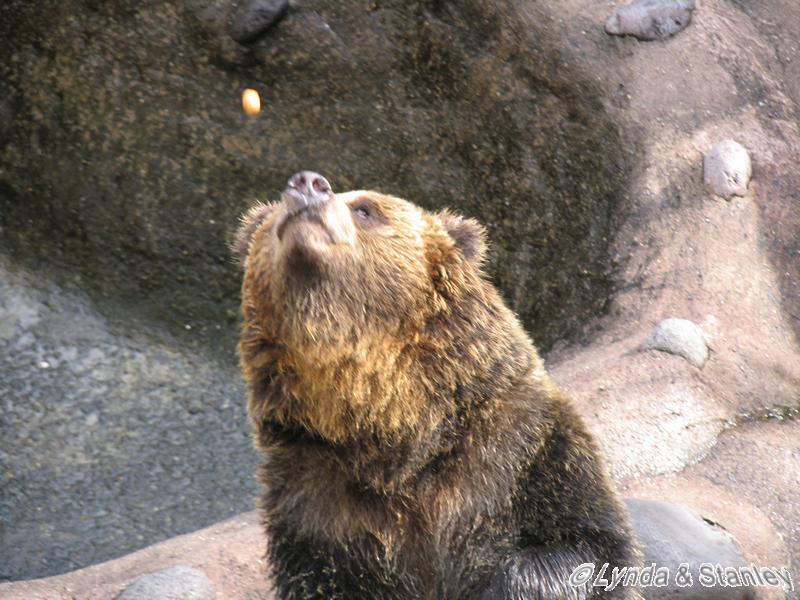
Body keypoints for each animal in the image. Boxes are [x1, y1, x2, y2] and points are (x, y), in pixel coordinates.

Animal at [233, 171, 644, 596]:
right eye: (272, 217)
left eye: (365, 208)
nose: (308, 183)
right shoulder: (317, 508)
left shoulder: (523, 457)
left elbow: (580, 547)